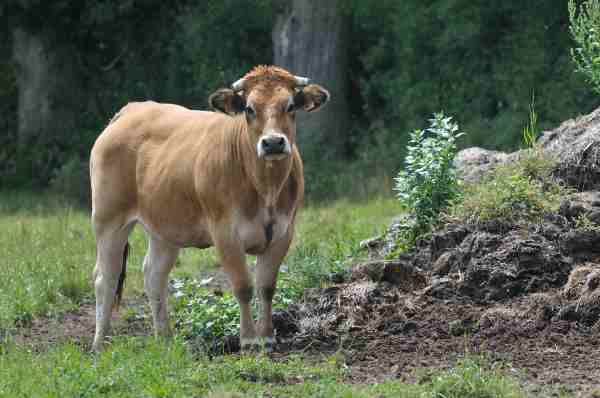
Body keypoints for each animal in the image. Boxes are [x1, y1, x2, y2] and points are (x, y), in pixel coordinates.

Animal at [91, 65, 330, 352]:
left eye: (291, 105)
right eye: (249, 109)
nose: (273, 142)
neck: (265, 187)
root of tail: (131, 110)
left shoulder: (283, 232)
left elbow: (266, 286)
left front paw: (268, 337)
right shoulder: (225, 233)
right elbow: (243, 286)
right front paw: (248, 339)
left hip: (165, 226)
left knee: (153, 275)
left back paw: (165, 338)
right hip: (108, 218)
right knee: (106, 278)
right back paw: (99, 344)